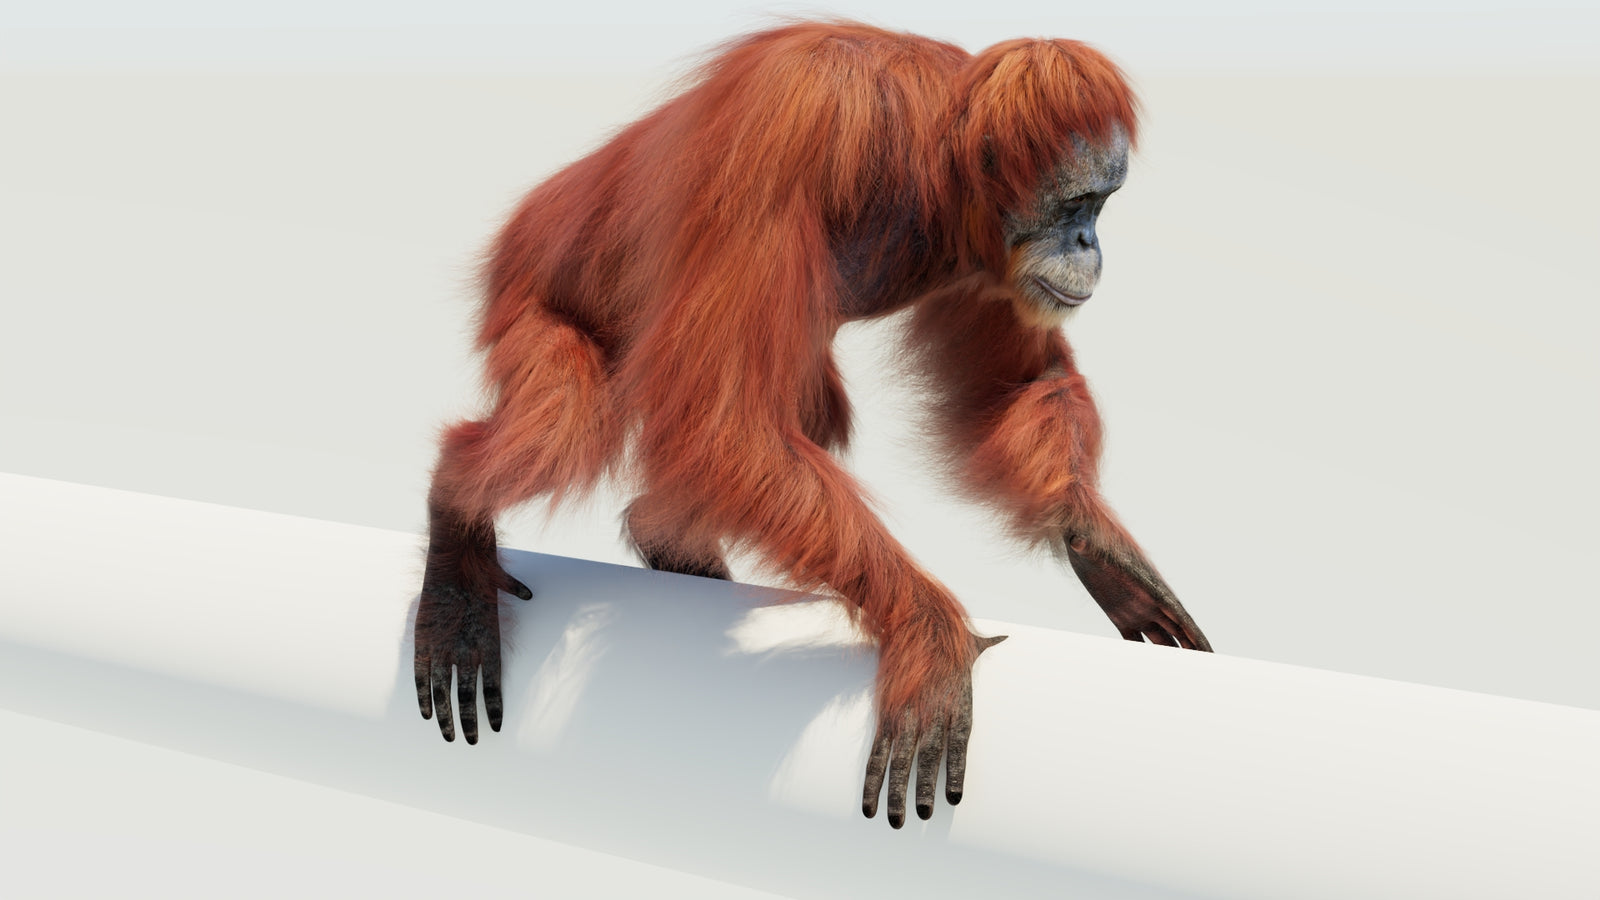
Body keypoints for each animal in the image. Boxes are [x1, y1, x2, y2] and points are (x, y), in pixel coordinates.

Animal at [412, 20, 1212, 830]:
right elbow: (725, 421)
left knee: (803, 408)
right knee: (570, 427)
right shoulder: (794, 122)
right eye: (1076, 204)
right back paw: (457, 529)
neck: (929, 160)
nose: (1089, 244)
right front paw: (927, 634)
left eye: (1102, 206)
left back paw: (664, 536)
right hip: (527, 292)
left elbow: (1012, 386)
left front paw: (1100, 547)